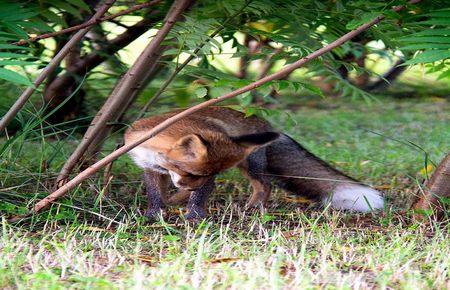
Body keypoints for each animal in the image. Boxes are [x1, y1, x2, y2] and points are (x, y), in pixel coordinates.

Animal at [124, 105, 384, 221]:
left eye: (202, 175)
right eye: (188, 171)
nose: (192, 186)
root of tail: (267, 124)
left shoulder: (209, 178)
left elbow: (199, 197)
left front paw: (195, 216)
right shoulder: (148, 168)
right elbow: (156, 194)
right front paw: (155, 213)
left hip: (249, 166)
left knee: (265, 185)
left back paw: (254, 206)